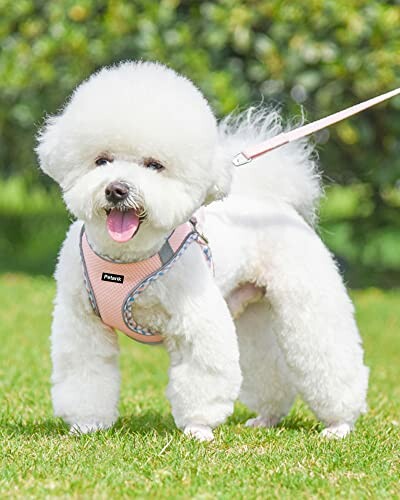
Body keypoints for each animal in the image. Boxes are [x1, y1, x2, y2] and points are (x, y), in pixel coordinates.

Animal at [36, 61, 368, 442]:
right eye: (101, 161)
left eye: (154, 165)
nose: (117, 189)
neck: (126, 259)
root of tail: (273, 199)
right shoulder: (82, 322)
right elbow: (86, 374)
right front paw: (87, 424)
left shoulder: (196, 319)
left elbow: (202, 374)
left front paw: (198, 428)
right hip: (253, 316)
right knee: (269, 367)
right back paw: (267, 417)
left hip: (308, 303)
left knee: (329, 356)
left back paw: (340, 424)